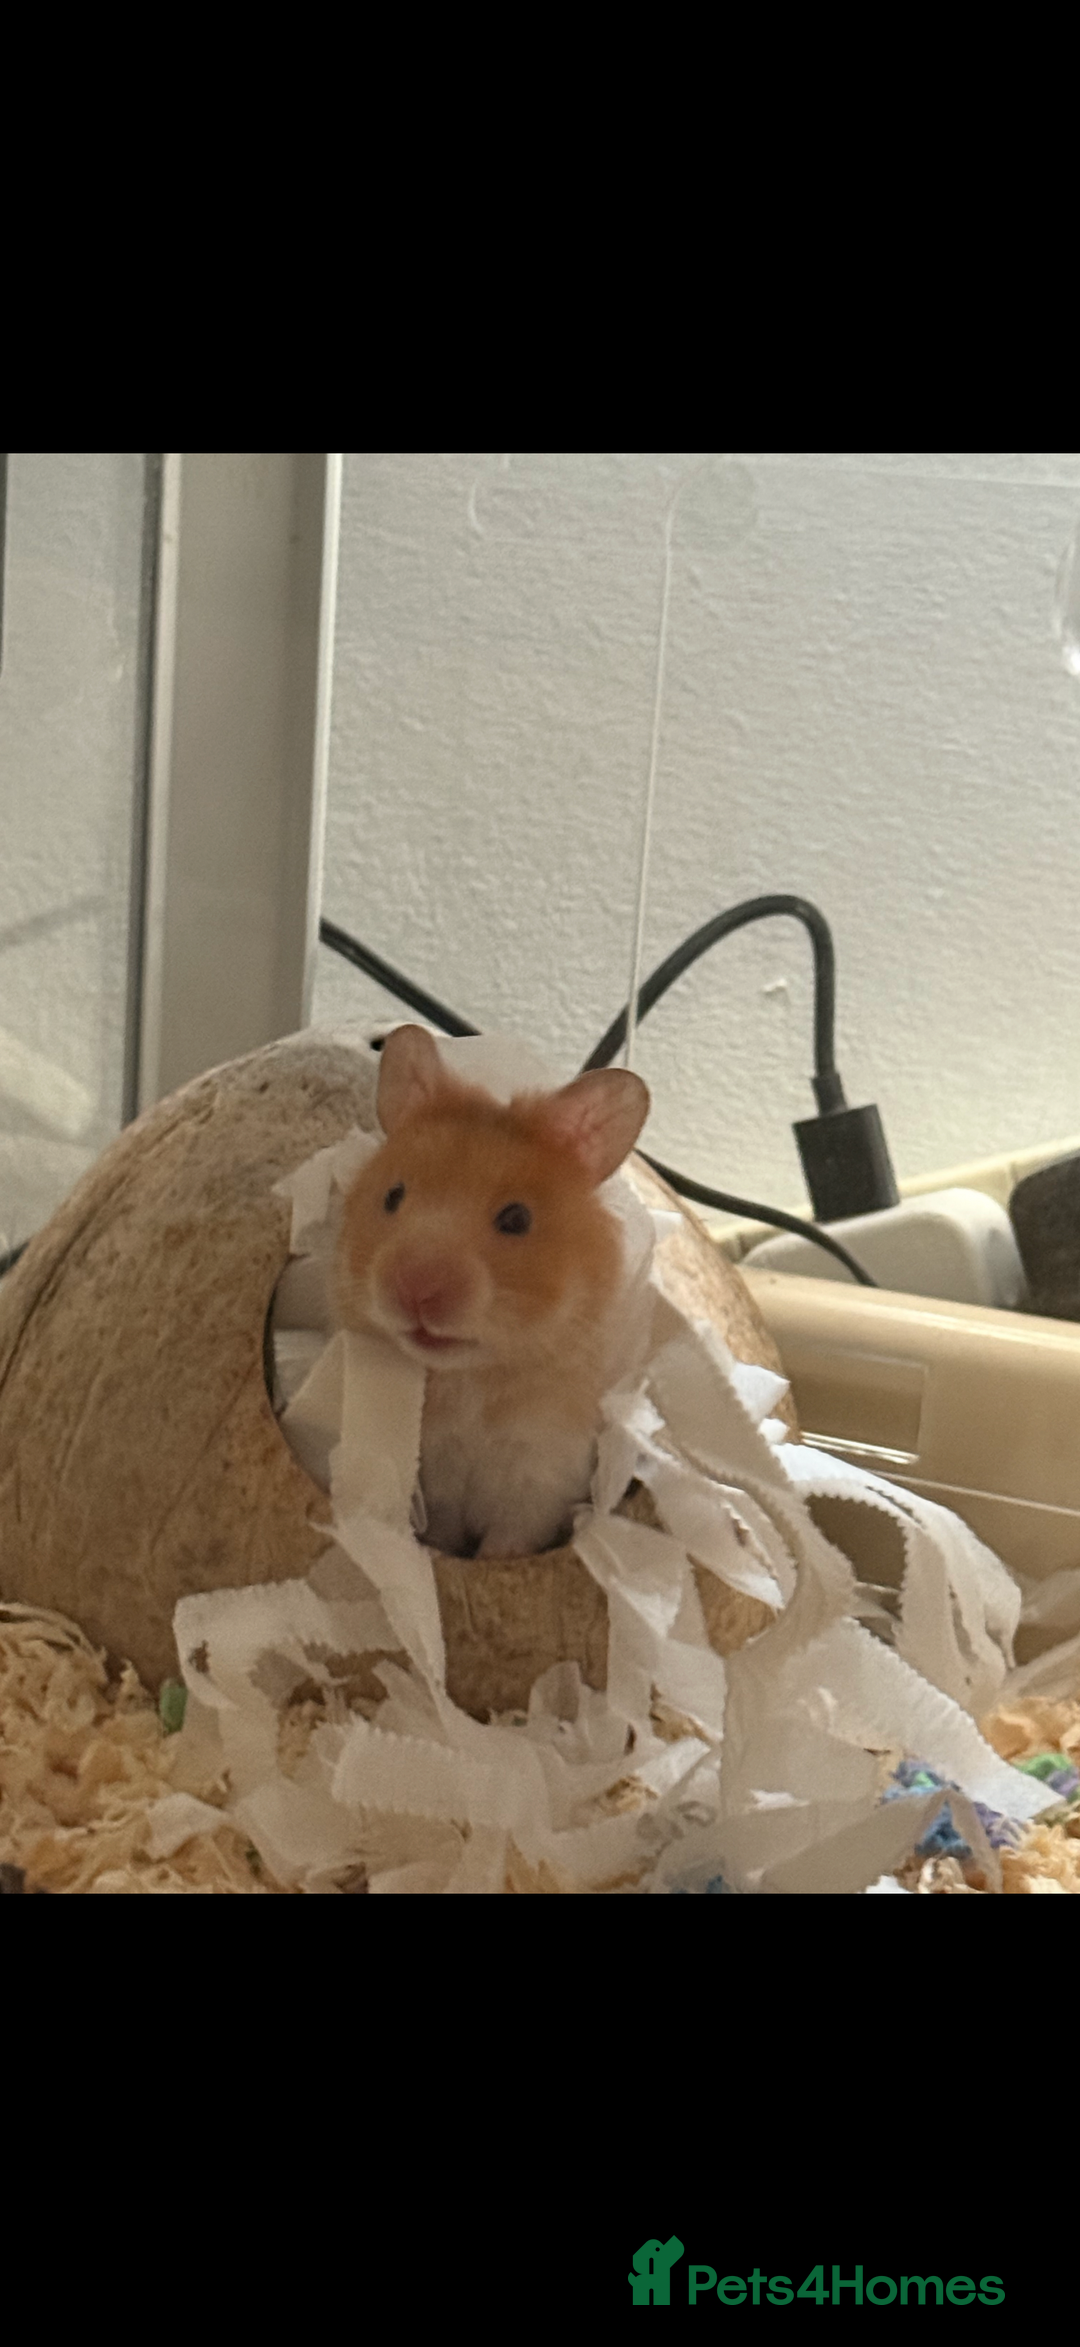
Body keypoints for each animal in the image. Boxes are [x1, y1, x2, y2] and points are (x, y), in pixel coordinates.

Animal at [335, 1025, 650, 1559]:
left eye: (517, 1219)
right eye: (393, 1196)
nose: (415, 1289)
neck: (470, 1379)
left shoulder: (538, 1483)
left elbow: (508, 1545)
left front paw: (492, 1558)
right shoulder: (436, 1485)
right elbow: (443, 1533)